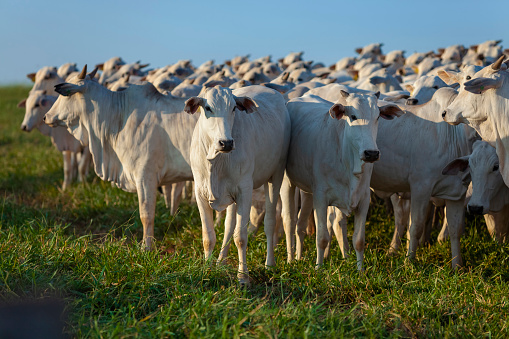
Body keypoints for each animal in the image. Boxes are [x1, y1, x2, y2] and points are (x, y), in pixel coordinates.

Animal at [44, 65, 197, 250]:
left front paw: (146, 247)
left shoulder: (145, 176)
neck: (118, 117)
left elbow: (146, 215)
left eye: (64, 95)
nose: (46, 116)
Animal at [186, 85, 290, 284]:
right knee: (229, 226)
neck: (217, 161)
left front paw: (243, 277)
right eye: (208, 108)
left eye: (234, 108)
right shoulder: (200, 193)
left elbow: (241, 237)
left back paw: (269, 264)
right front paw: (208, 270)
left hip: (276, 176)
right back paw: (221, 261)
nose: (226, 142)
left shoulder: (245, 191)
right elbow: (208, 236)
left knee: (270, 222)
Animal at [280, 91, 402, 270]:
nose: (371, 153)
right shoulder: (321, 198)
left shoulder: (363, 199)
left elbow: (359, 240)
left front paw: (360, 270)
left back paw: (298, 257)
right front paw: (319, 268)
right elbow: (322, 237)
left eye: (378, 117)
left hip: (307, 190)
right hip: (287, 183)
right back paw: (290, 260)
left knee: (300, 225)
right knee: (289, 221)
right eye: (353, 116)